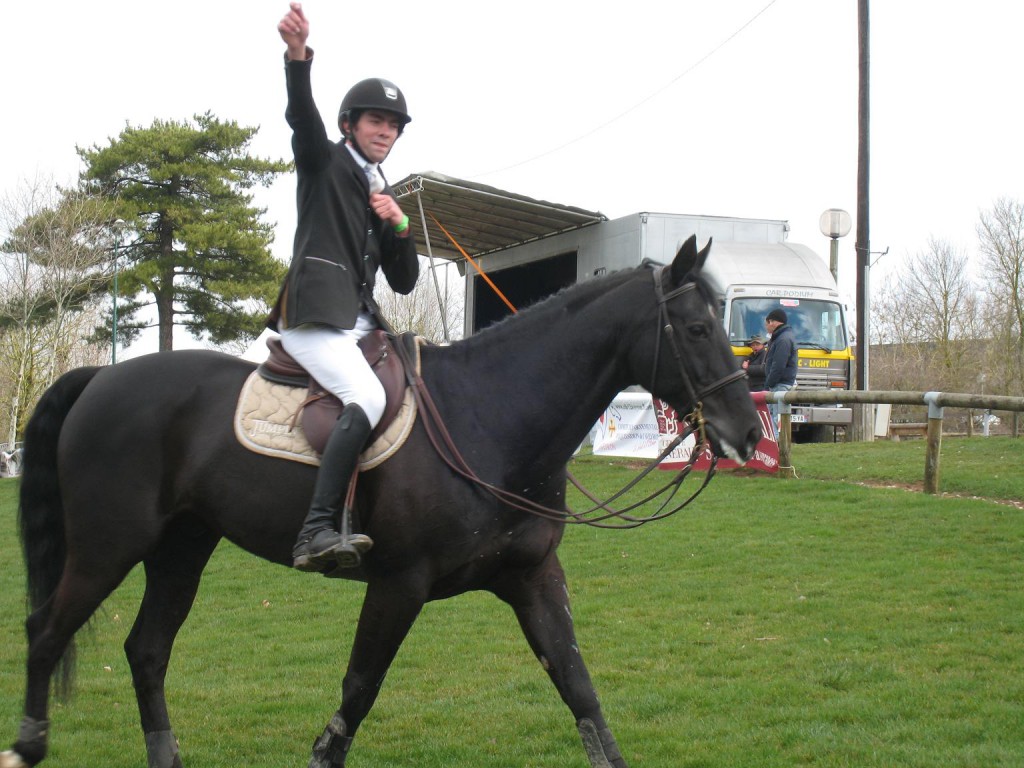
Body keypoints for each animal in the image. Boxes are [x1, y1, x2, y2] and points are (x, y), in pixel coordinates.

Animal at [6, 237, 761, 765]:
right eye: (697, 329)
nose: (749, 432)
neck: (488, 414)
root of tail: (101, 379)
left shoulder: (533, 578)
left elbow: (579, 688)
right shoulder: (400, 583)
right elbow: (357, 692)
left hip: (181, 548)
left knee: (146, 651)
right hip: (108, 546)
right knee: (45, 631)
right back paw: (28, 744)